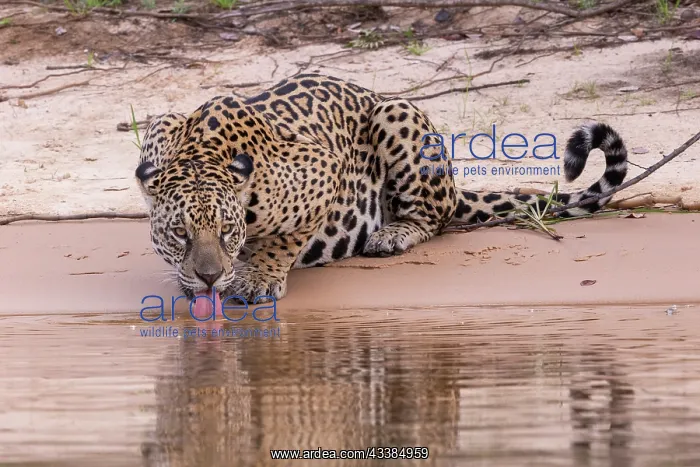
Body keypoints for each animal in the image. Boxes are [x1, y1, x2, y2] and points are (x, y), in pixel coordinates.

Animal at [135, 72, 629, 303]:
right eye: (179, 233)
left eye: (227, 231)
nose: (209, 276)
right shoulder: (161, 126)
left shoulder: (323, 167)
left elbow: (284, 239)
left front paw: (259, 277)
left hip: (397, 115)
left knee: (435, 217)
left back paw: (391, 234)